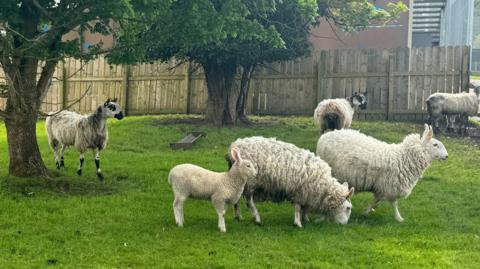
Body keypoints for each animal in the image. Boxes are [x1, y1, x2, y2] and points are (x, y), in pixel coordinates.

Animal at [316, 124, 448, 221]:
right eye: (435, 145)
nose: (447, 156)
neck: (403, 158)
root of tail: (326, 135)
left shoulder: (386, 187)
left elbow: (380, 201)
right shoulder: (389, 186)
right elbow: (388, 203)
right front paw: (397, 217)